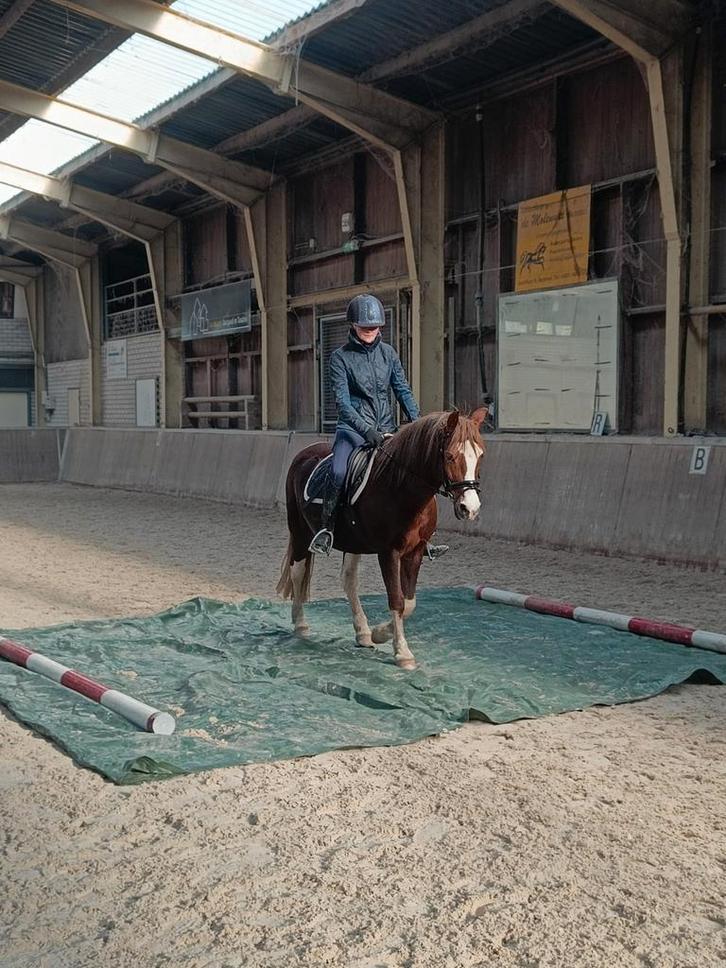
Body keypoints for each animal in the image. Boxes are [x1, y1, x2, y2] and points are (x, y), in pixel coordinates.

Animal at [277, 408, 488, 670]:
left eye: (480, 455)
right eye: (449, 456)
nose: (470, 508)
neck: (401, 488)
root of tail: (305, 452)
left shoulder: (415, 551)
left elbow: (409, 602)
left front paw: (379, 634)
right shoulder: (389, 552)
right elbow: (396, 600)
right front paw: (402, 652)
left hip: (352, 541)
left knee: (349, 580)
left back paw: (363, 632)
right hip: (300, 531)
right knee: (298, 572)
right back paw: (301, 624)